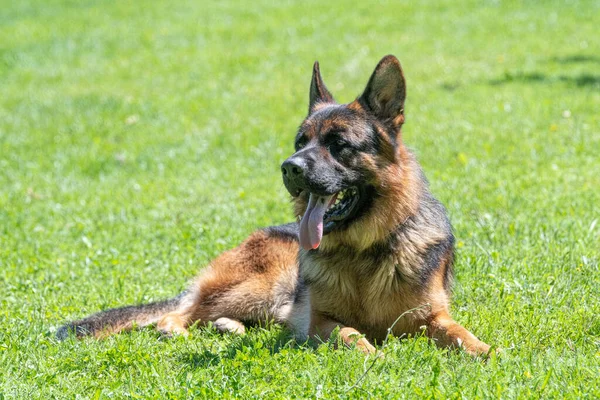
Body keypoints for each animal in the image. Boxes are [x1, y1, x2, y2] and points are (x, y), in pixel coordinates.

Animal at [58, 55, 492, 356]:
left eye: (339, 145)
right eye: (301, 142)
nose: (290, 167)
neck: (364, 249)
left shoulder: (432, 317)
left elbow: (462, 335)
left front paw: (488, 353)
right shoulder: (320, 321)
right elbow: (351, 334)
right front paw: (374, 355)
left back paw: (229, 326)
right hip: (262, 285)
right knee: (180, 312)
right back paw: (181, 327)